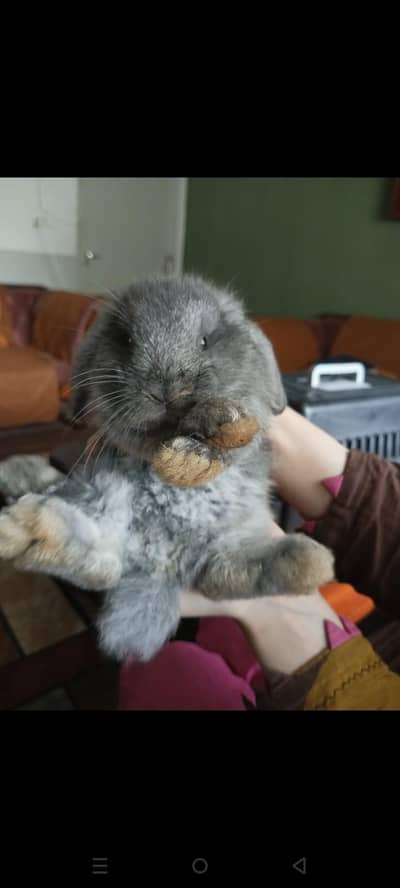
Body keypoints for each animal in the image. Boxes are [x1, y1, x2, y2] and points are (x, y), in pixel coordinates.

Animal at [0, 275, 334, 661]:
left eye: (205, 341)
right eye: (126, 339)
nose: (167, 389)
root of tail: (160, 563)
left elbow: (234, 431)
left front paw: (209, 432)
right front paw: (187, 458)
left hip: (228, 535)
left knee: (222, 573)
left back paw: (305, 561)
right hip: (106, 499)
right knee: (101, 562)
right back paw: (29, 531)